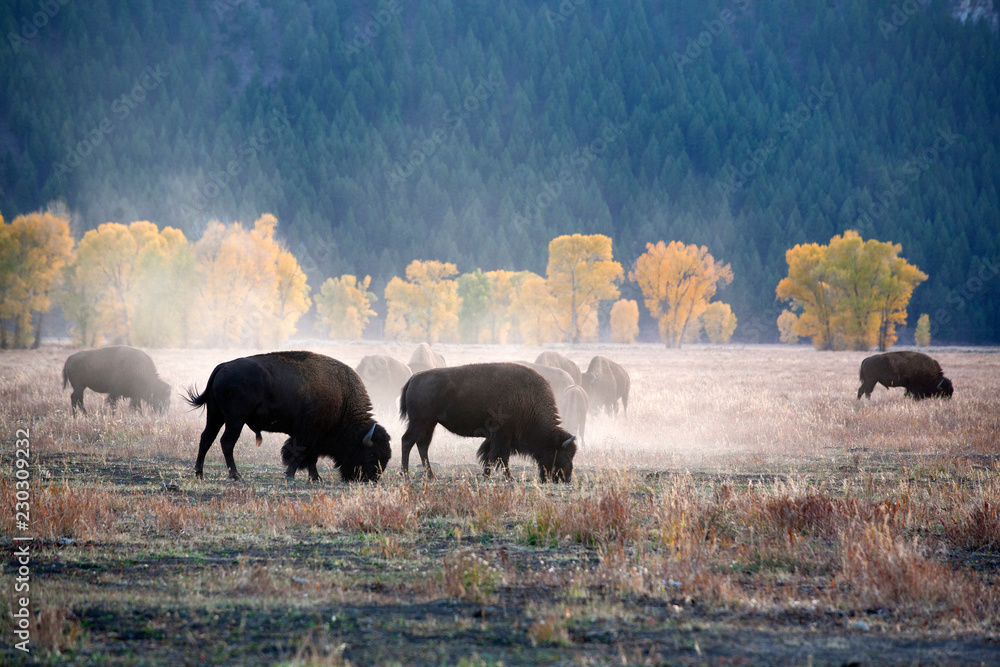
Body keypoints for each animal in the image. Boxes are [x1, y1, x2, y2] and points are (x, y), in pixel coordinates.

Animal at [186, 351, 391, 482]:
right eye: (372, 453)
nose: (372, 478)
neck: (343, 399)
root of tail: (223, 366)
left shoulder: (314, 436)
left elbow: (311, 457)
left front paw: (315, 477)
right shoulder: (308, 432)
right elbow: (300, 453)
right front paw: (291, 475)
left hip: (215, 415)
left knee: (206, 439)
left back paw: (199, 473)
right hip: (235, 419)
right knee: (226, 442)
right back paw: (236, 476)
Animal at [399, 362, 577, 482]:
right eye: (565, 455)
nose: (566, 479)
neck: (528, 401)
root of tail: (413, 378)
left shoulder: (498, 437)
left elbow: (493, 456)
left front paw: (492, 475)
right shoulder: (502, 436)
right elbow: (498, 457)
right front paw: (501, 477)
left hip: (429, 424)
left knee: (422, 446)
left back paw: (431, 475)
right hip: (419, 423)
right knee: (407, 441)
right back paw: (406, 474)